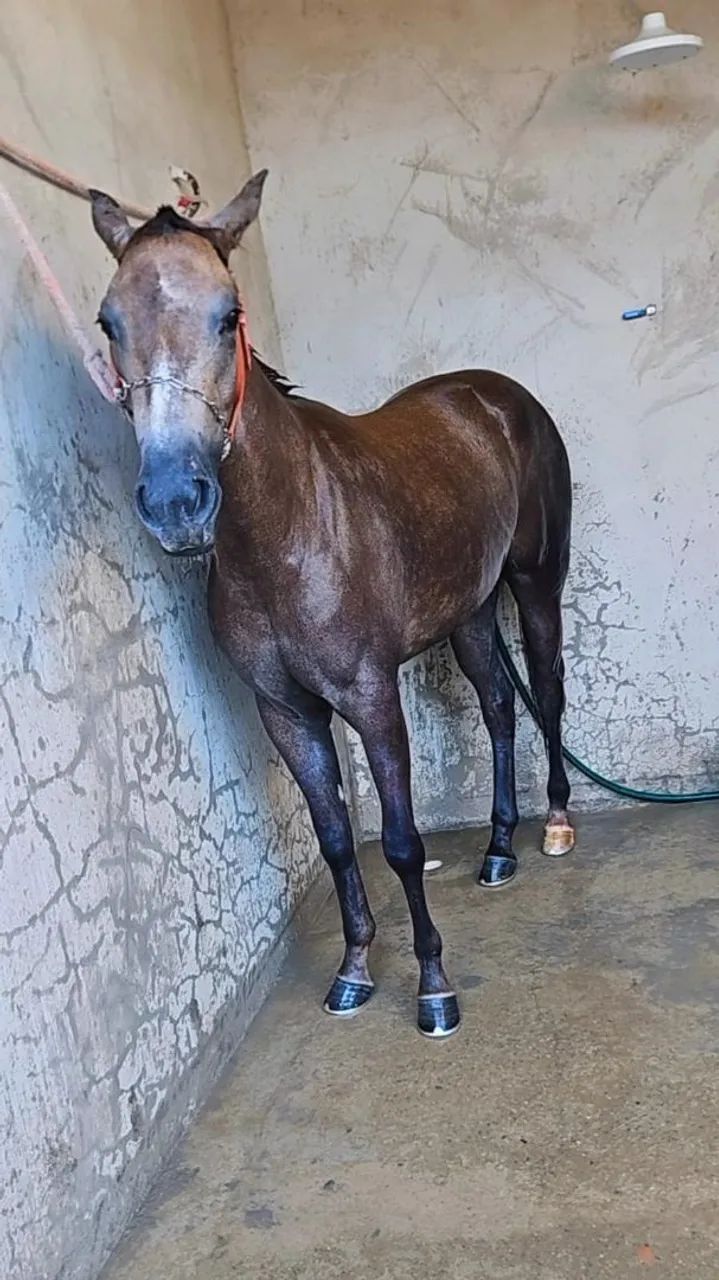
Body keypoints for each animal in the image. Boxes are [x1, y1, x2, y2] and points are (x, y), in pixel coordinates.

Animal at [89, 171, 574, 1038]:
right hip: (469, 611)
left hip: (533, 584)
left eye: (228, 315)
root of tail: (496, 396)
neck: (288, 530)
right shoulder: (285, 710)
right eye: (109, 321)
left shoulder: (370, 697)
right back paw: (497, 850)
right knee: (496, 705)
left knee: (545, 692)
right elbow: (337, 840)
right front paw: (352, 972)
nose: (176, 501)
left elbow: (403, 843)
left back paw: (553, 823)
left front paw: (433, 990)